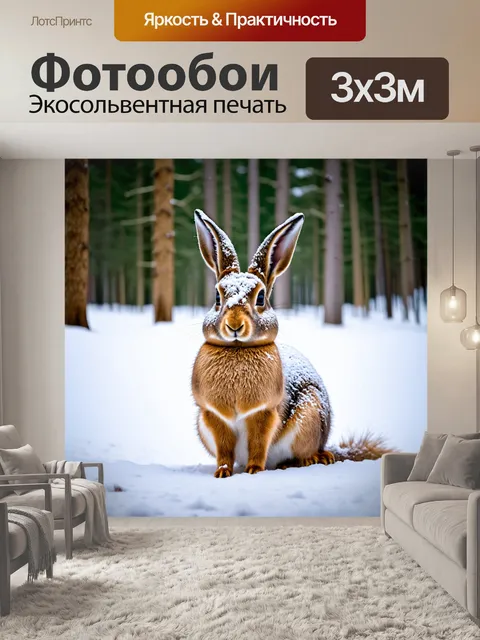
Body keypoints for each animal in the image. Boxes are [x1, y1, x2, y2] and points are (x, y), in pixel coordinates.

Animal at [191, 209, 336, 478]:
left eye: (260, 298)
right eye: (217, 297)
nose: (234, 325)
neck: (238, 350)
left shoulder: (264, 413)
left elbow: (259, 443)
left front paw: (254, 471)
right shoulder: (213, 415)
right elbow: (224, 448)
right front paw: (222, 472)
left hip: (310, 412)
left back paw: (313, 459)